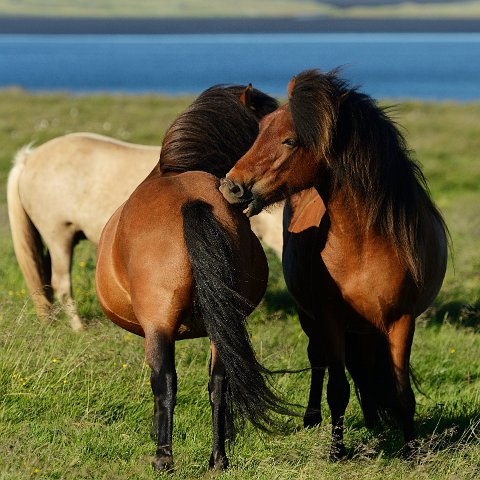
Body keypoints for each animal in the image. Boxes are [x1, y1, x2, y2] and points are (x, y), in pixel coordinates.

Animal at [95, 84, 286, 470]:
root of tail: (190, 201)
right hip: (222, 326)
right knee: (219, 384)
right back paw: (218, 459)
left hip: (159, 325)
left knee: (165, 383)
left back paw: (163, 459)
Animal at [219, 70, 448, 458]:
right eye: (258, 134)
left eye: (289, 141)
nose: (231, 187)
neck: (365, 243)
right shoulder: (330, 318)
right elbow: (337, 388)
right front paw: (337, 451)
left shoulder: (401, 321)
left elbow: (402, 392)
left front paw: (411, 449)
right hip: (311, 318)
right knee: (319, 360)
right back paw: (313, 418)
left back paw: (372, 418)